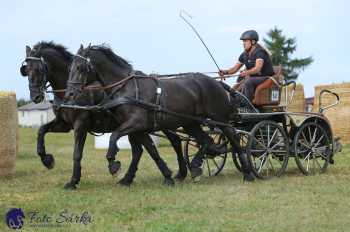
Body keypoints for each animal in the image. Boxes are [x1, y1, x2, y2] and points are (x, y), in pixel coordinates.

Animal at [19, 41, 189, 189]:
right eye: (26, 70)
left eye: (40, 69)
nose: (35, 96)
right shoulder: (64, 124)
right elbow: (41, 131)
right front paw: (47, 159)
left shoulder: (81, 124)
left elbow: (77, 153)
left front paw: (73, 181)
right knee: (140, 150)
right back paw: (131, 178)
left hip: (162, 122)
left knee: (174, 141)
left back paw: (180, 173)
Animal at [64, 44, 253, 181]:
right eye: (70, 67)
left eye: (80, 67)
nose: (70, 94)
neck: (126, 88)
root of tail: (217, 83)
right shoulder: (138, 128)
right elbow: (149, 150)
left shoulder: (136, 123)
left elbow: (114, 137)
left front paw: (113, 163)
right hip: (190, 123)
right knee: (206, 140)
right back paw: (195, 166)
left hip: (220, 120)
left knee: (234, 140)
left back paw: (248, 173)